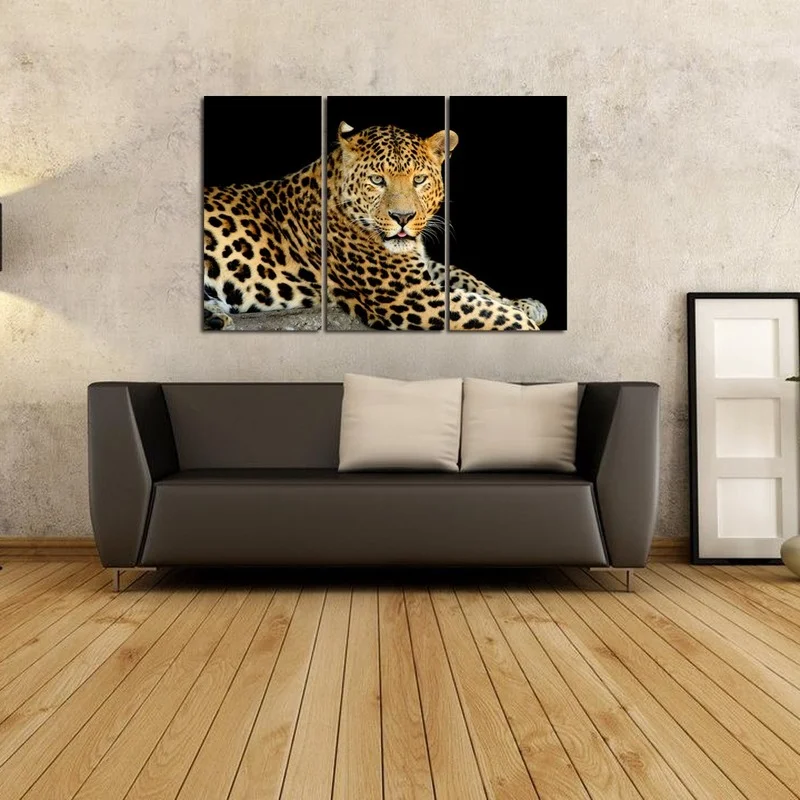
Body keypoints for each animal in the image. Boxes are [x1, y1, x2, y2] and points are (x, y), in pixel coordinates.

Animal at [203, 121, 547, 331]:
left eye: (419, 179)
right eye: (377, 180)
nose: (403, 218)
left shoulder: (420, 267)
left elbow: (466, 279)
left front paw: (525, 304)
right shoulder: (411, 294)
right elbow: (486, 311)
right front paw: (524, 320)